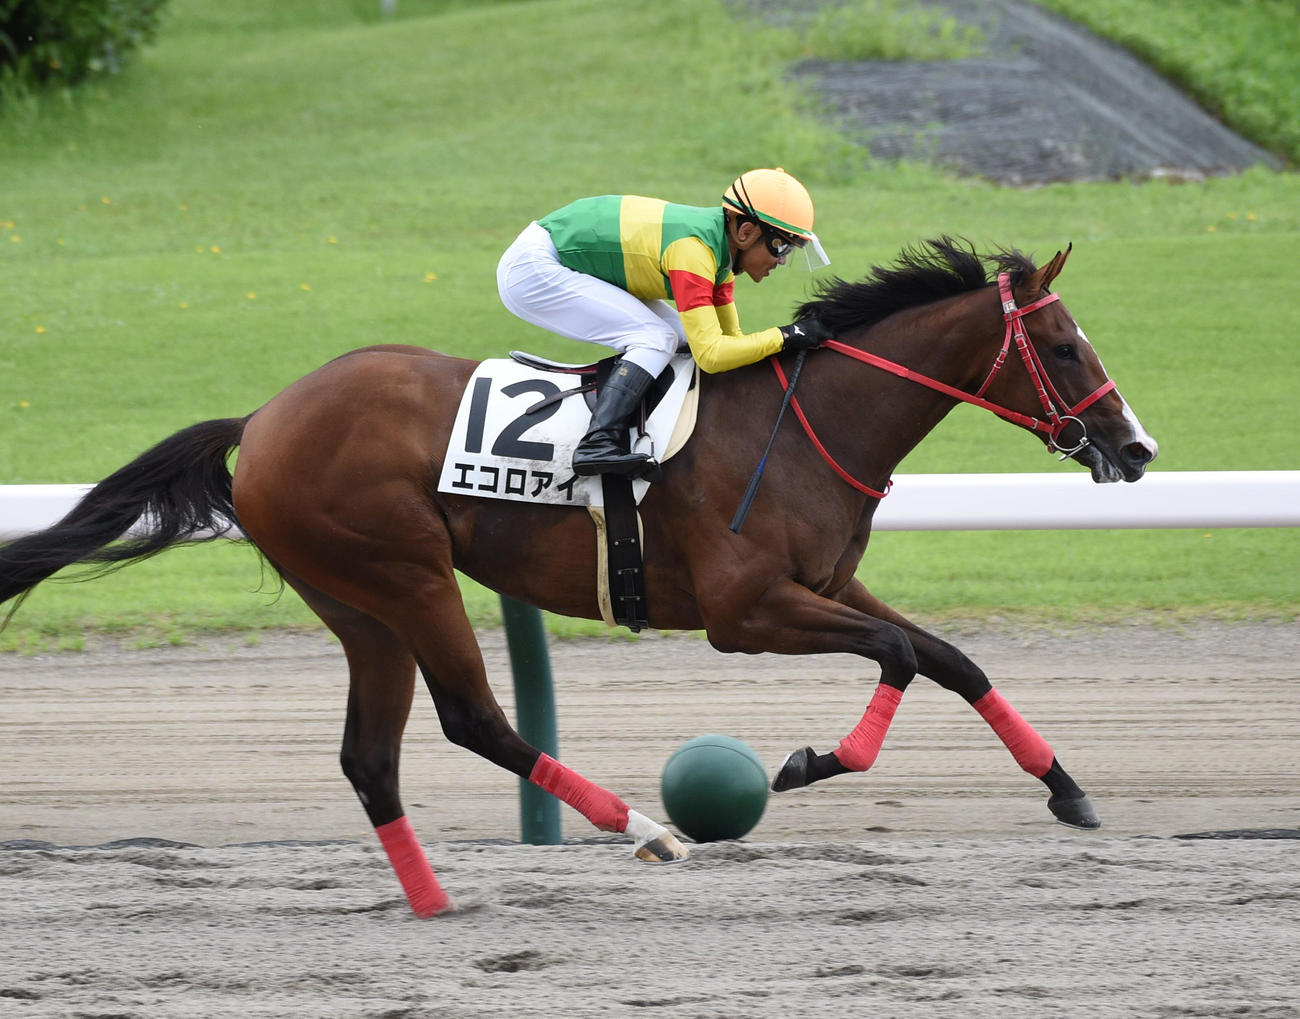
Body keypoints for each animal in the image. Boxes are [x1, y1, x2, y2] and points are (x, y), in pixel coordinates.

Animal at [0, 238, 1157, 917]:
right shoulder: (745, 610)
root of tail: (265, 416)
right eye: (1062, 344)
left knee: (371, 757)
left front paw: (1067, 787)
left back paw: (435, 901)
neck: (804, 422)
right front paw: (804, 762)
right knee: (474, 719)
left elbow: (948, 658)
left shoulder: (826, 582)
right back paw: (647, 831)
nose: (1135, 448)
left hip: (356, 603)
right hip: (407, 573)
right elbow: (897, 658)